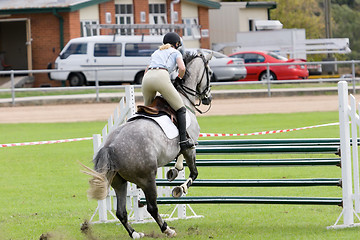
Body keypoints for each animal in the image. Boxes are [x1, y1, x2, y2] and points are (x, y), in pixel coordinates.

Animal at [83, 50, 212, 238]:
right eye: (209, 72)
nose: (209, 98)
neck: (183, 99)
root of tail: (110, 147)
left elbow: (180, 160)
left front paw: (174, 171)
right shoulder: (191, 145)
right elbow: (193, 172)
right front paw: (181, 187)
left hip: (119, 182)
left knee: (121, 212)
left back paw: (135, 234)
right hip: (147, 179)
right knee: (152, 207)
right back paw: (167, 229)